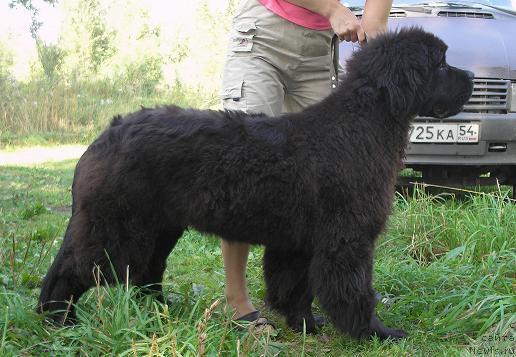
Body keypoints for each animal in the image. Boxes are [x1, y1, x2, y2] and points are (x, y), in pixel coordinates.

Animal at [36, 27, 474, 340]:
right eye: (440, 64)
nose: (471, 75)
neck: (362, 123)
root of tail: (105, 134)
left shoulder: (298, 242)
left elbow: (294, 287)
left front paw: (305, 325)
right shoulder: (347, 239)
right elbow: (353, 291)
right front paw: (374, 332)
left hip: (159, 227)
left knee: (147, 272)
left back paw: (161, 314)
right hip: (115, 227)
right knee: (72, 270)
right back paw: (58, 320)